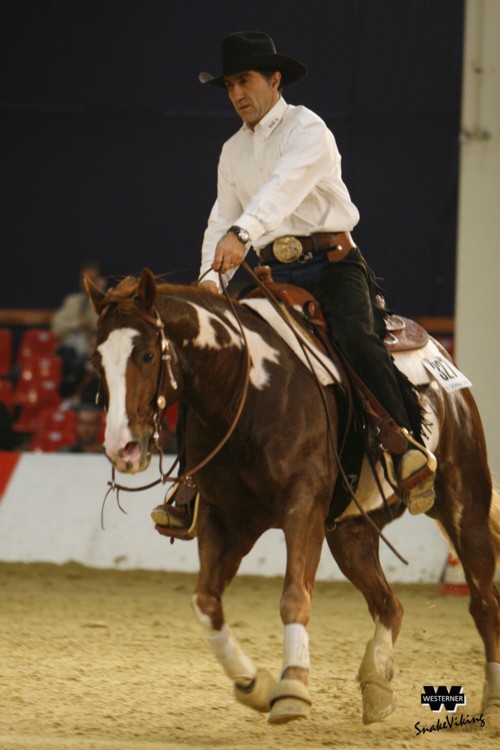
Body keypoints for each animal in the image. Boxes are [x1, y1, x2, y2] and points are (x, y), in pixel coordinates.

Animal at [87, 268, 500, 728]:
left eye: (145, 355)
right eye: (96, 361)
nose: (121, 447)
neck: (246, 389)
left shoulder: (302, 508)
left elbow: (294, 597)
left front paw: (292, 688)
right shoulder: (225, 521)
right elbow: (206, 602)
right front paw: (254, 685)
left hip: (466, 502)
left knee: (484, 601)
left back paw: (492, 700)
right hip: (350, 533)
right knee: (390, 606)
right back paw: (376, 683)